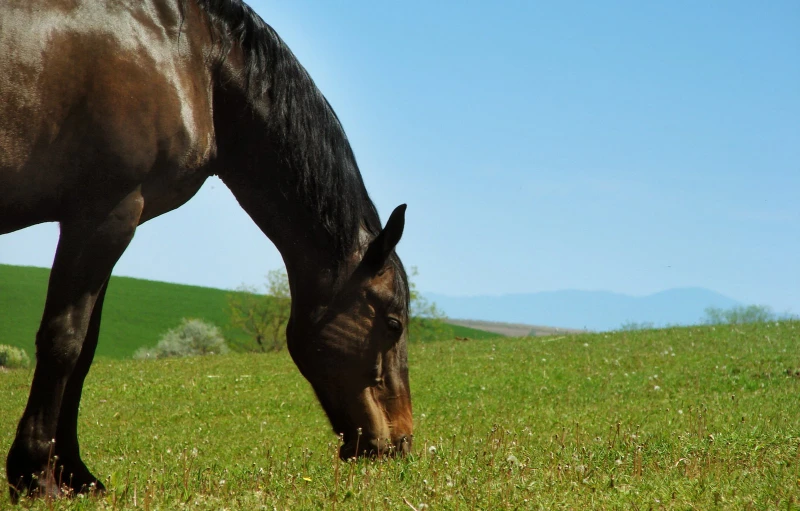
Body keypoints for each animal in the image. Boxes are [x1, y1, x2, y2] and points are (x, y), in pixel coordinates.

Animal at [0, 0, 412, 504]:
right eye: (393, 324)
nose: (402, 443)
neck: (195, 56)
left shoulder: (102, 223)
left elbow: (85, 350)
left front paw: (75, 474)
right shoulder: (105, 214)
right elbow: (65, 341)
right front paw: (35, 476)